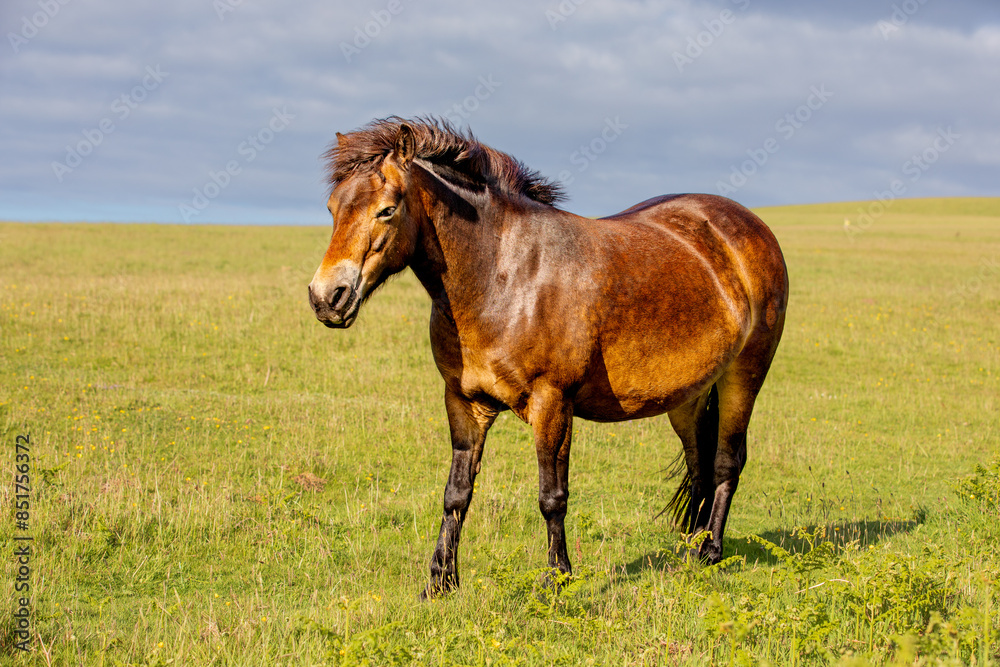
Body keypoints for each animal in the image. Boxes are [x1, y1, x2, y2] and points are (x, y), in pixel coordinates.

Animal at [308, 117, 788, 598]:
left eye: (387, 210)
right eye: (332, 208)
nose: (327, 297)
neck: (502, 277)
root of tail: (745, 225)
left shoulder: (552, 404)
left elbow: (552, 496)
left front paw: (557, 578)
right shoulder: (465, 403)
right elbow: (456, 493)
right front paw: (440, 581)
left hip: (744, 376)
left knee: (726, 463)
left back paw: (709, 552)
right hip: (688, 397)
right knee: (699, 466)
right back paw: (688, 550)